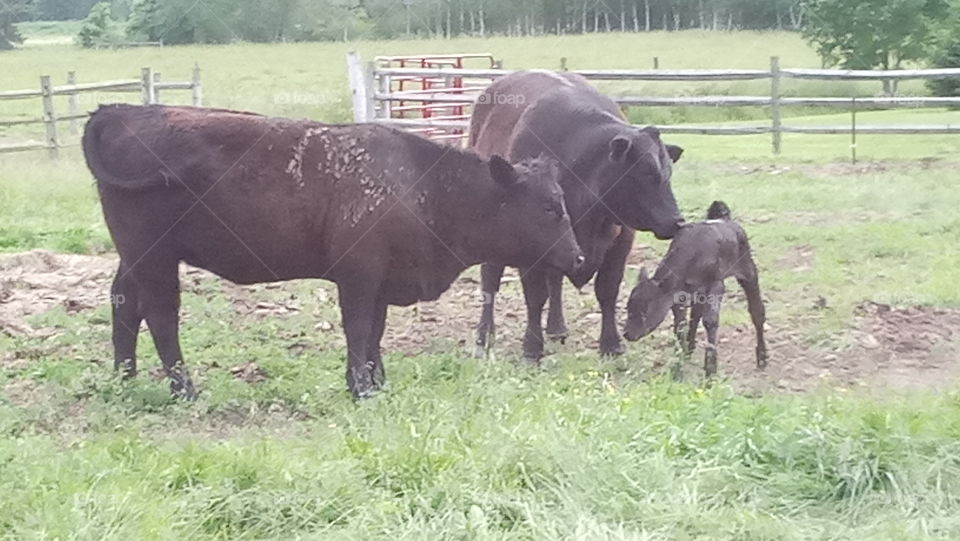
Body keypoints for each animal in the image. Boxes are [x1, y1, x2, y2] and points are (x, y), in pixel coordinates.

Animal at [82, 104, 583, 400]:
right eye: (548, 206)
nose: (578, 259)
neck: (420, 183)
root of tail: (122, 110)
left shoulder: (381, 281)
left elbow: (375, 333)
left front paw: (376, 382)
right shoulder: (358, 277)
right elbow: (359, 330)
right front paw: (361, 388)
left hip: (134, 257)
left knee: (124, 304)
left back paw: (125, 378)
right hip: (154, 257)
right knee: (160, 314)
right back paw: (184, 389)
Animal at [470, 70, 684, 363]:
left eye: (668, 172)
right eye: (646, 172)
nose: (678, 221)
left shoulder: (622, 239)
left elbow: (607, 291)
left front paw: (611, 345)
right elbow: (535, 296)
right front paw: (532, 348)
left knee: (555, 280)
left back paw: (556, 327)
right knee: (490, 280)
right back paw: (484, 337)